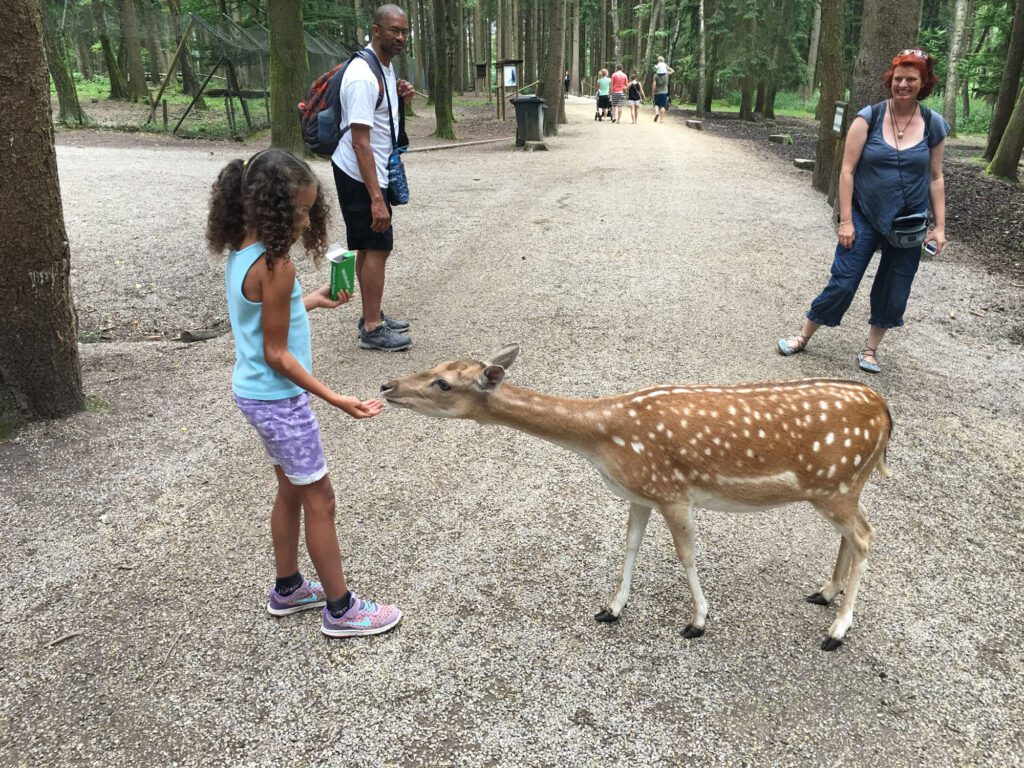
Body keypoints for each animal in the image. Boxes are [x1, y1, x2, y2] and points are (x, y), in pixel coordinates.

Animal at [380, 346, 892, 651]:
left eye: (444, 384)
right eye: (436, 367)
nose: (387, 386)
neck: (603, 439)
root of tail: (884, 411)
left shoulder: (672, 491)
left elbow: (686, 554)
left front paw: (698, 621)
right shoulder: (639, 492)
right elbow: (630, 544)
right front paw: (611, 608)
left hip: (836, 485)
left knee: (867, 535)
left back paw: (837, 630)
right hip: (842, 486)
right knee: (853, 533)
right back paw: (825, 592)